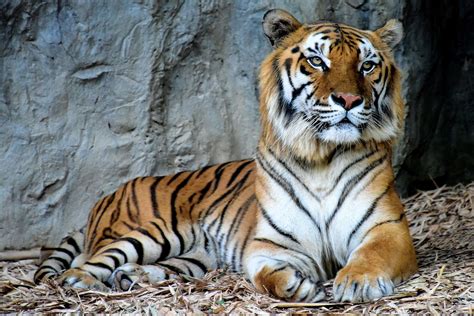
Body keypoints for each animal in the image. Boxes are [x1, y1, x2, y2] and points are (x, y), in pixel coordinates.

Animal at [35, 8, 416, 302]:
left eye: (366, 66)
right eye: (316, 61)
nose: (349, 100)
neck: (321, 156)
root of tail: (106, 196)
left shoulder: (387, 227)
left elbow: (372, 253)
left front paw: (358, 281)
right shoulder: (271, 243)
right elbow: (265, 273)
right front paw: (296, 286)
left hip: (195, 256)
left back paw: (133, 277)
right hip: (153, 232)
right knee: (91, 260)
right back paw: (79, 281)